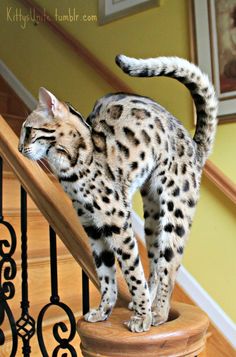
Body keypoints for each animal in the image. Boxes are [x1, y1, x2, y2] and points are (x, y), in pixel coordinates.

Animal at [18, 55, 218, 330]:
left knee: (169, 266)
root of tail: (195, 146)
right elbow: (106, 275)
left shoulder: (117, 221)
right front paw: (104, 311)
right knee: (155, 264)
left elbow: (132, 271)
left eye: (29, 130)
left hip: (174, 213)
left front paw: (142, 317)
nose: (19, 149)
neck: (71, 168)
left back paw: (158, 312)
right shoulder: (92, 226)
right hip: (152, 218)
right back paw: (149, 304)